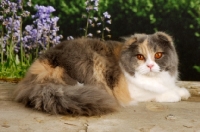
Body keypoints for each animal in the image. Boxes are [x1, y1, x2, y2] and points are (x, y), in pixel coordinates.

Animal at [14, 31, 191, 115]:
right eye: (140, 57)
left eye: (158, 55)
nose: (150, 65)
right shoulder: (133, 91)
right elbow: (155, 93)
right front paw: (174, 95)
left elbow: (170, 87)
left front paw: (182, 92)